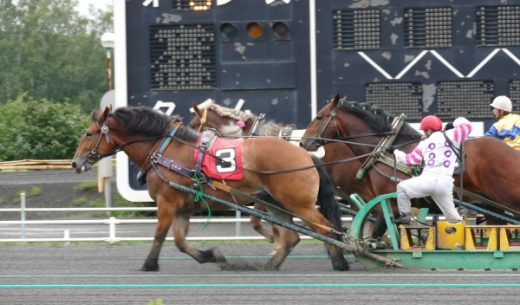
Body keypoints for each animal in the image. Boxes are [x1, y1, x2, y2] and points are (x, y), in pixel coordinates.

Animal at [71, 105, 350, 270]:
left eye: (88, 133)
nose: (75, 162)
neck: (164, 149)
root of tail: (305, 155)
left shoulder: (167, 201)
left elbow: (160, 235)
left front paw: (149, 264)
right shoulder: (182, 205)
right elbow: (180, 241)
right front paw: (210, 255)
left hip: (297, 202)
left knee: (325, 227)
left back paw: (340, 261)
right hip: (275, 202)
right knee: (294, 236)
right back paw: (271, 264)